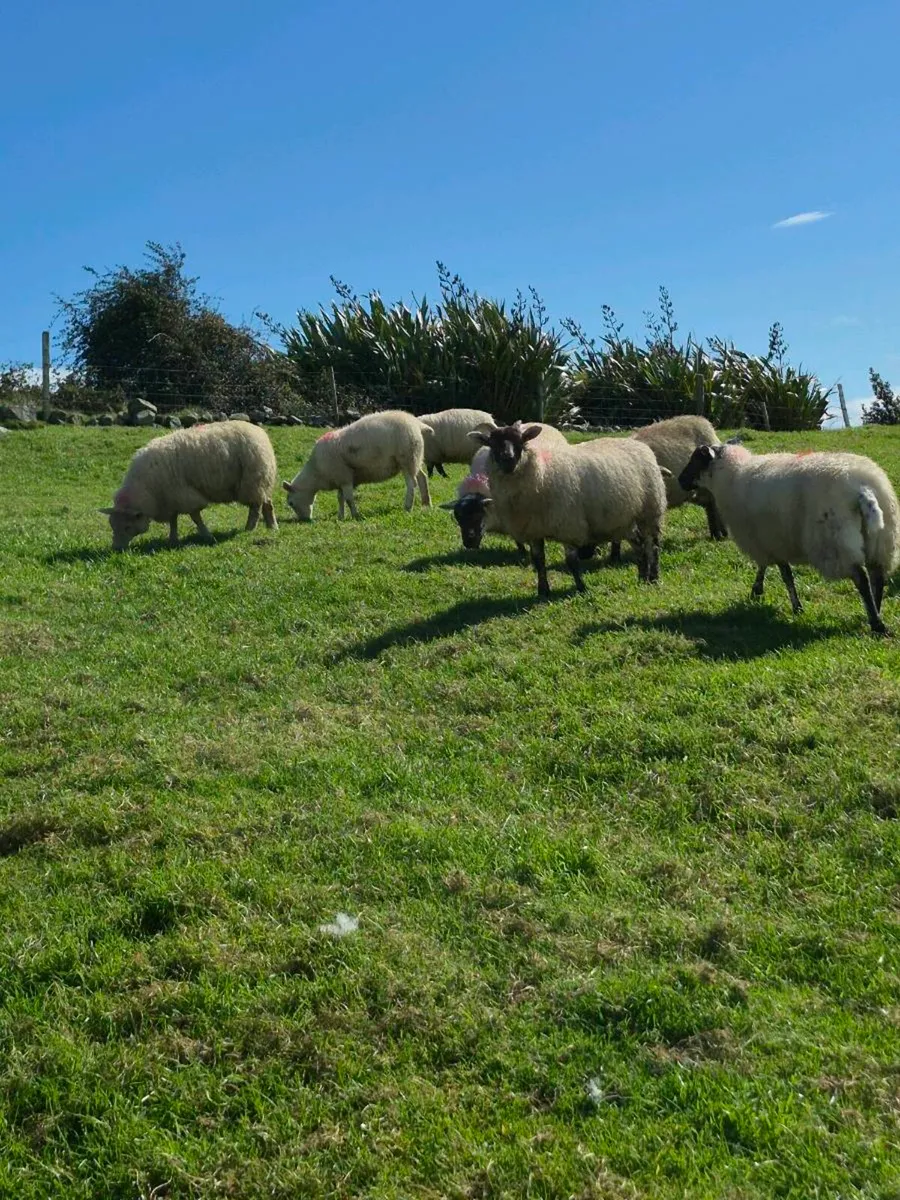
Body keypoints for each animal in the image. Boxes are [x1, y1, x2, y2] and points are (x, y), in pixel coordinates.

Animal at [99, 420, 278, 550]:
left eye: (128, 527)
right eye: (112, 526)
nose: (116, 549)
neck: (147, 489)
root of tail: (259, 432)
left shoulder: (184, 495)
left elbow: (195, 517)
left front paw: (207, 535)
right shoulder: (171, 498)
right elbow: (173, 520)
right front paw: (172, 539)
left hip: (252, 480)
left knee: (255, 506)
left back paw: (250, 528)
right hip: (263, 480)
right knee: (267, 502)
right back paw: (272, 526)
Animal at [282, 409, 431, 521]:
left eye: (291, 503)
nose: (304, 520)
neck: (316, 472)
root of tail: (417, 423)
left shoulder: (345, 477)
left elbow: (348, 499)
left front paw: (355, 515)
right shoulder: (340, 480)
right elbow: (340, 498)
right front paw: (340, 516)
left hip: (407, 458)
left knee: (411, 484)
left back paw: (408, 507)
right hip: (415, 458)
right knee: (422, 478)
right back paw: (426, 504)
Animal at [469, 421, 666, 598]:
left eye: (521, 441)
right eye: (492, 443)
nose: (508, 459)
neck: (542, 474)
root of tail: (639, 445)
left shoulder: (568, 525)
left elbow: (571, 562)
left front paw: (581, 589)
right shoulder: (534, 529)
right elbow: (538, 560)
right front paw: (543, 592)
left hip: (650, 510)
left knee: (652, 546)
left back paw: (653, 578)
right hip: (624, 519)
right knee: (639, 544)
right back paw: (642, 577)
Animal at [679, 443, 900, 635]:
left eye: (696, 459)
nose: (680, 481)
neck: (733, 474)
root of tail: (863, 490)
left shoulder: (768, 540)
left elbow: (782, 574)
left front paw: (784, 602)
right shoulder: (773, 540)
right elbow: (772, 569)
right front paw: (762, 592)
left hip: (836, 541)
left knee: (862, 579)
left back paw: (876, 623)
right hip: (881, 541)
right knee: (877, 577)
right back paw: (875, 612)